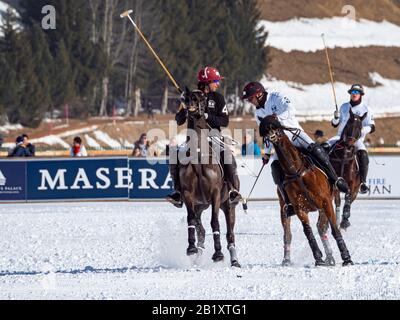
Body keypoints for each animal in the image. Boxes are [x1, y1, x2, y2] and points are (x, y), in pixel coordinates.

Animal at [176, 88, 241, 268]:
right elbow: (191, 220)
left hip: (228, 205)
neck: (199, 158)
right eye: (186, 97)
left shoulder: (215, 193)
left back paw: (234, 261)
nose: (191, 103)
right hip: (200, 205)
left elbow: (214, 222)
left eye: (203, 98)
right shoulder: (188, 194)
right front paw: (191, 248)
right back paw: (198, 255)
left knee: (230, 234)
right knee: (201, 230)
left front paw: (218, 254)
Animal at [260, 115, 354, 268]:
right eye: (264, 129)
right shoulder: (300, 208)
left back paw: (330, 258)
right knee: (288, 234)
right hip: (283, 209)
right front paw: (318, 258)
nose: (272, 136)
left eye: (276, 125)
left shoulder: (326, 202)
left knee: (322, 228)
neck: (297, 171)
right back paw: (287, 260)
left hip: (325, 204)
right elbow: (308, 232)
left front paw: (347, 258)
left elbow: (334, 229)